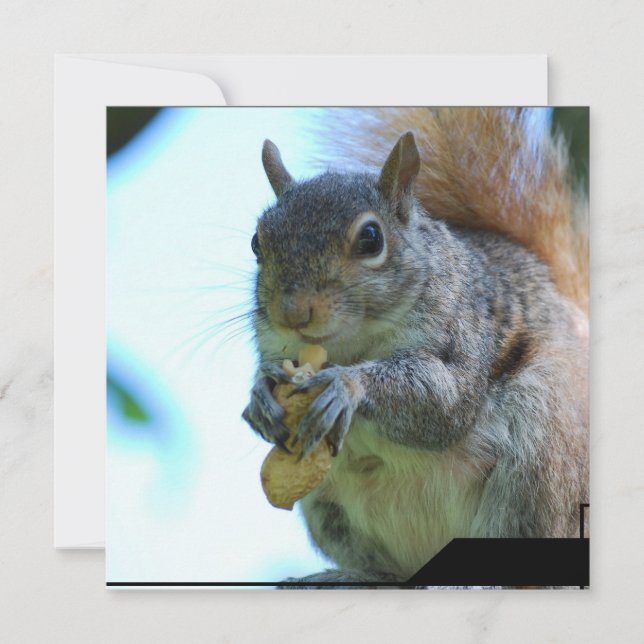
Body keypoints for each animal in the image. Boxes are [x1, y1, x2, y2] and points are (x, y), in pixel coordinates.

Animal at [242, 107, 589, 585]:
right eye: (257, 242)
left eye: (371, 238)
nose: (292, 312)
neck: (354, 342)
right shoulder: (274, 343)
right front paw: (260, 394)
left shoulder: (464, 336)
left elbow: (445, 402)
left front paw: (346, 385)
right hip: (330, 508)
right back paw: (354, 576)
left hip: (542, 454)